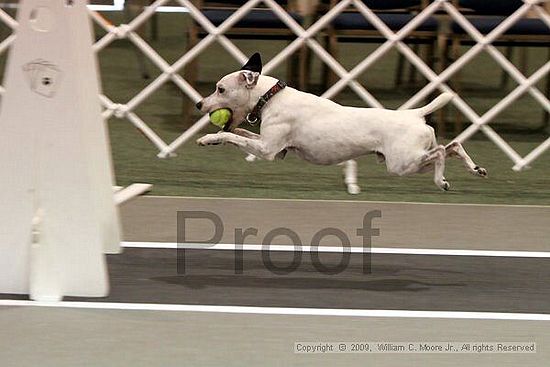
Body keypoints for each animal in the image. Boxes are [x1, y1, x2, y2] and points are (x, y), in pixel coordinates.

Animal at [196, 53, 490, 196]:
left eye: (220, 89)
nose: (199, 104)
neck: (270, 97)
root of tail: (415, 115)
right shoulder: (275, 148)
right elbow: (239, 133)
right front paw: (216, 135)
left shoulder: (268, 150)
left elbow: (233, 137)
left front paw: (209, 138)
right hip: (410, 160)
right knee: (452, 146)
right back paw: (475, 169)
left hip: (402, 163)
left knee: (441, 152)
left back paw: (441, 181)